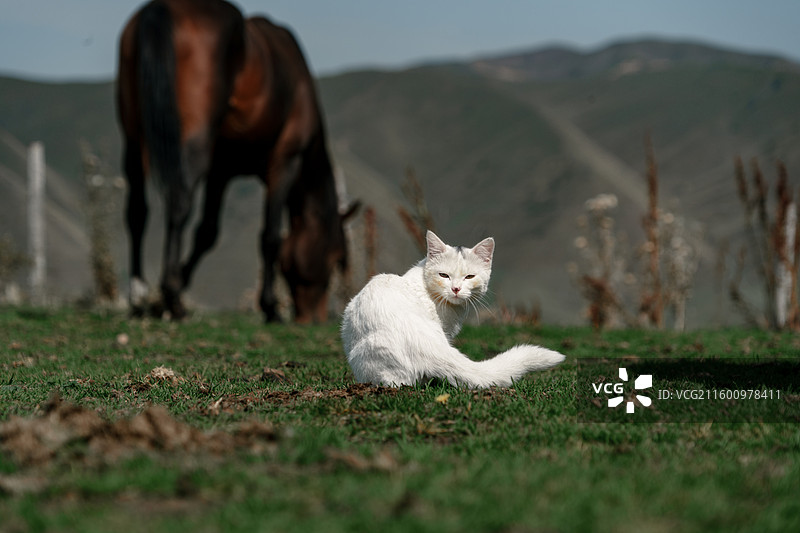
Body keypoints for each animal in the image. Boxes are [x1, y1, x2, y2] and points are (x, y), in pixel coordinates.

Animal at [117, 0, 357, 323]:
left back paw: (139, 296)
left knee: (136, 210)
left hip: (134, 135)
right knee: (179, 200)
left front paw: (171, 288)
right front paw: (270, 307)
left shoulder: (221, 170)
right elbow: (270, 236)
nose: (314, 318)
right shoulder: (284, 162)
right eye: (334, 258)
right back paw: (172, 298)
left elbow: (207, 233)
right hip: (194, 140)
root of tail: (160, 7)